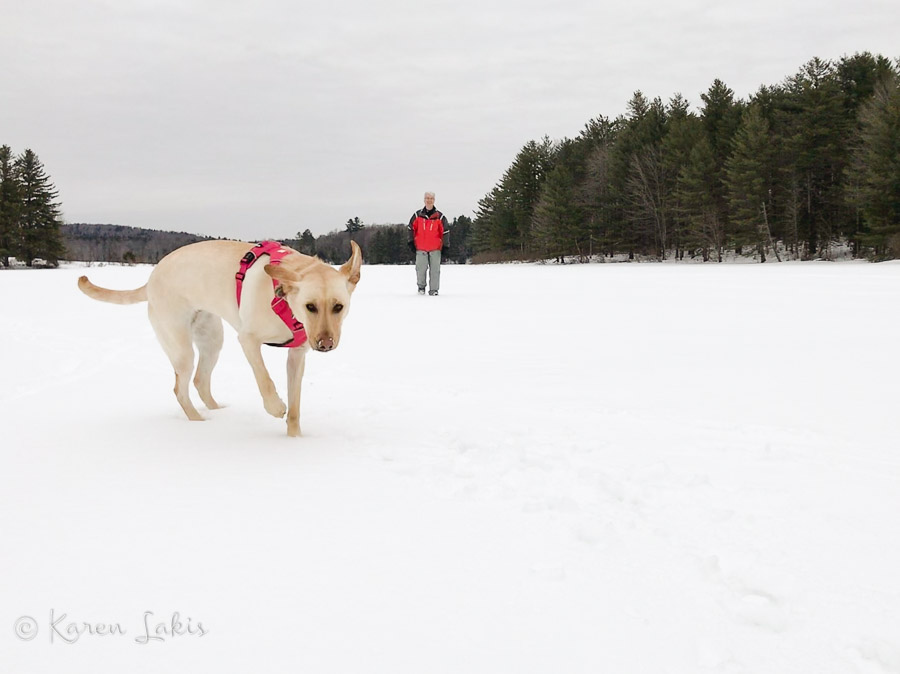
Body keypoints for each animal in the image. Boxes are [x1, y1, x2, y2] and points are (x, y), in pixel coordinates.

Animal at [76, 238, 358, 436]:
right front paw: (275, 407)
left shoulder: (297, 355)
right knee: (180, 388)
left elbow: (296, 405)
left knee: (200, 381)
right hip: (181, 347)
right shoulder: (248, 340)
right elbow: (264, 380)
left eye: (338, 307)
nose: (325, 345)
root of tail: (151, 278)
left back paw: (218, 412)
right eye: (310, 306)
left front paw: (295, 438)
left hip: (212, 340)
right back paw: (199, 423)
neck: (284, 299)